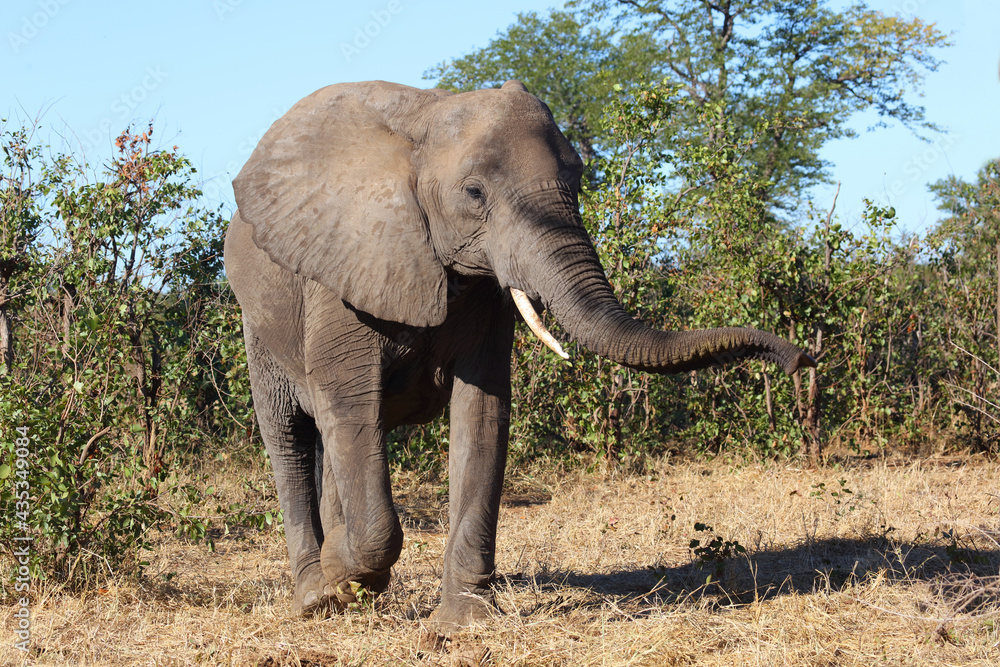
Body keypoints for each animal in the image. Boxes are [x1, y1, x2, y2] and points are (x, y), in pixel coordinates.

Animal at [223, 79, 814, 629]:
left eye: (577, 182)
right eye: (474, 192)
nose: (800, 360)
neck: (426, 116)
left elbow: (482, 414)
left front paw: (462, 624)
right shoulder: (342, 274)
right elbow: (350, 409)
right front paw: (342, 573)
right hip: (259, 326)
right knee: (292, 440)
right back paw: (315, 597)